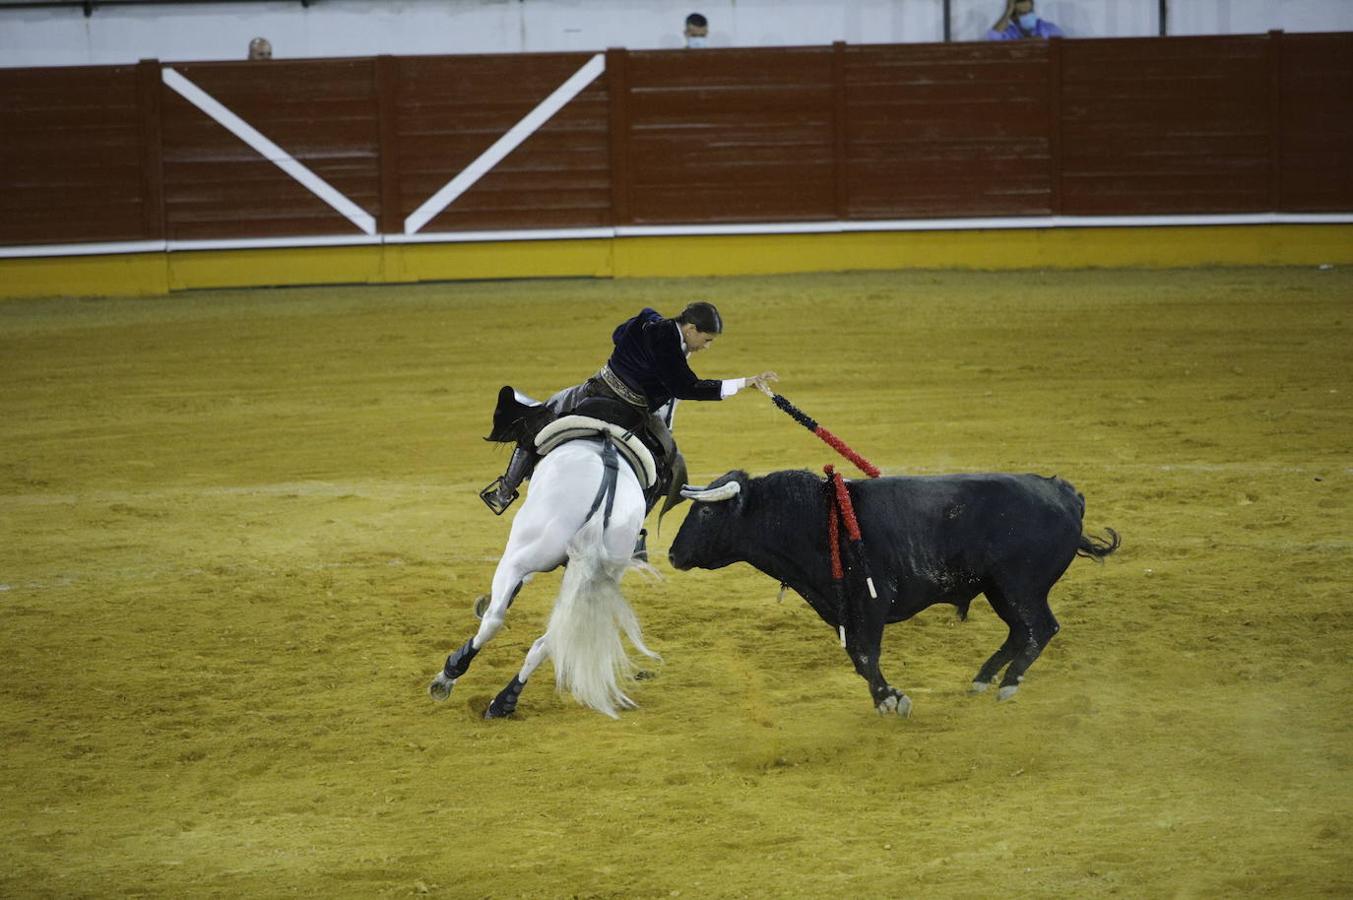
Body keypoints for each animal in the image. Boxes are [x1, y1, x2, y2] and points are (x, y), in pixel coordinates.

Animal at [427, 416, 660, 720]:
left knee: (495, 619)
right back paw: (504, 701)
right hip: (584, 583)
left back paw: (448, 677)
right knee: (549, 640)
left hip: (520, 555)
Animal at [668, 470, 1120, 714]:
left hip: (1020, 587)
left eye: (704, 511)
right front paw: (885, 697)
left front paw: (891, 700)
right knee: (1020, 631)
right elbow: (857, 658)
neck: (809, 518)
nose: (672, 554)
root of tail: (1064, 494)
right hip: (1000, 590)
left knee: (1040, 628)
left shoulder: (870, 603)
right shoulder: (844, 612)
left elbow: (866, 655)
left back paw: (1008, 684)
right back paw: (982, 679)